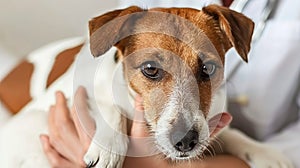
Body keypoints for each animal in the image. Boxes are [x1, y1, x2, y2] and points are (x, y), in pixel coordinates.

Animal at [0, 4, 294, 167]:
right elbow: (108, 106)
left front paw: (265, 153)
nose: (186, 141)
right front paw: (108, 148)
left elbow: (231, 134)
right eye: (150, 69)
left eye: (209, 68)